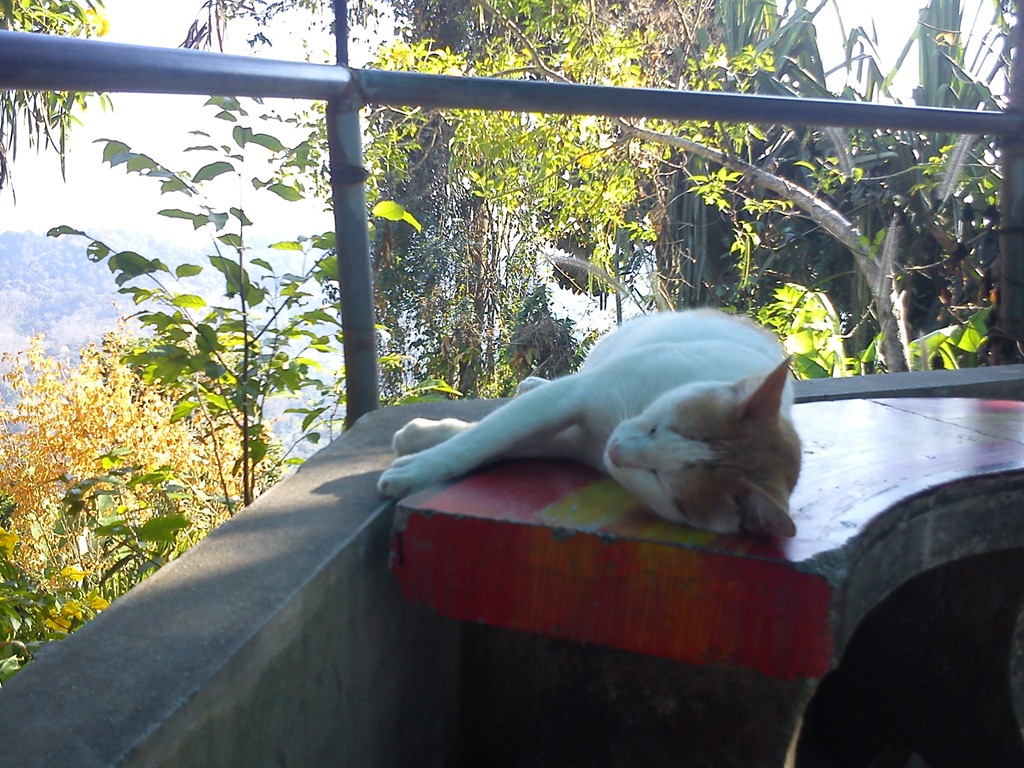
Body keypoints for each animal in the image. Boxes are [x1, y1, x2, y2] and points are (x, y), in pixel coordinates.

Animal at [377, 309, 802, 537]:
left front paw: (419, 452)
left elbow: (498, 441)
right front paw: (419, 458)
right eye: (658, 427)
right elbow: (485, 436)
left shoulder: (577, 439)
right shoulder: (576, 395)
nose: (617, 449)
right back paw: (531, 382)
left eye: (661, 480)